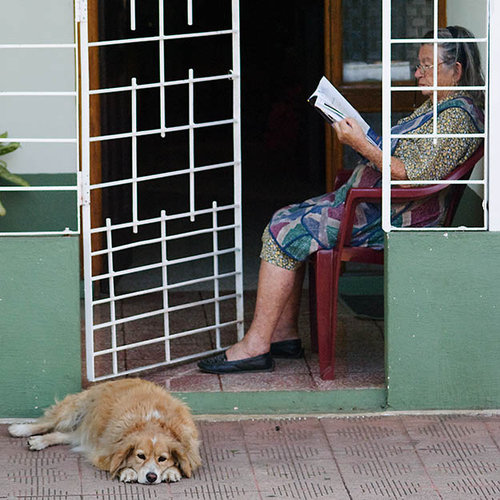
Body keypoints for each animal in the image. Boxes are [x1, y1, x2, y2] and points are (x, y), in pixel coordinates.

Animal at [7, 378, 201, 484]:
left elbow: (183, 464)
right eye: (140, 456)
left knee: (62, 435)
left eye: (162, 458)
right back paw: (20, 429)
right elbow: (116, 463)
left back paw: (40, 441)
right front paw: (128, 471)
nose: (151, 477)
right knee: (47, 422)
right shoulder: (103, 452)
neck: (151, 422)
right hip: (73, 411)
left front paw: (172, 471)